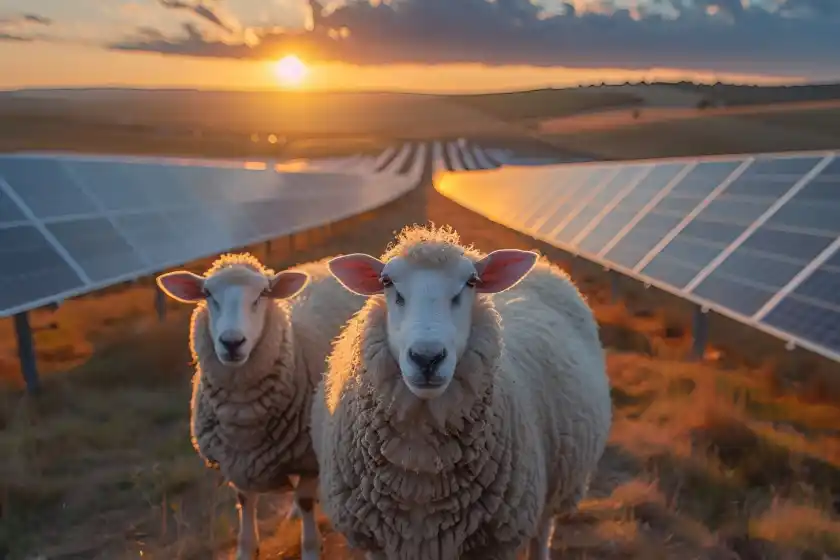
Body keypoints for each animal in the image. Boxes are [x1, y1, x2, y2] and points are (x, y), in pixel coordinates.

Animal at [156, 252, 366, 560]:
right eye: (207, 294)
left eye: (262, 294)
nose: (232, 342)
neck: (244, 416)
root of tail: (328, 259)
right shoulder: (236, 461)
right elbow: (245, 501)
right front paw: (245, 549)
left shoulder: (307, 456)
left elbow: (306, 501)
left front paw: (310, 548)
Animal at [310, 225, 612, 560]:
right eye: (387, 282)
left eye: (471, 282)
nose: (427, 358)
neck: (419, 467)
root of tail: (546, 265)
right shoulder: (374, 541)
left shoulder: (494, 543)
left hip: (559, 484)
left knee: (543, 531)